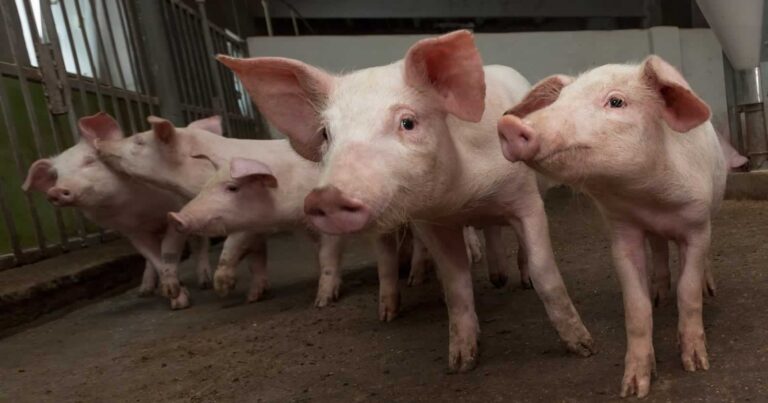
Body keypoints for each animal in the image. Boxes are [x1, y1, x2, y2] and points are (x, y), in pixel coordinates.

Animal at [22, 112, 212, 310]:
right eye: (56, 176)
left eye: (89, 160)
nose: (55, 191)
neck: (137, 210)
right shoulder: (132, 232)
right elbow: (153, 257)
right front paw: (175, 296)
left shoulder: (176, 210)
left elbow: (170, 250)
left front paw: (180, 304)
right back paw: (144, 291)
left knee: (201, 242)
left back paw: (205, 282)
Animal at [219, 30, 593, 372]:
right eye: (326, 134)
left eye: (408, 122)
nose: (327, 197)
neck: (464, 195)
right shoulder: (431, 222)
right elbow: (455, 286)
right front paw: (460, 363)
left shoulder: (525, 199)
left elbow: (545, 271)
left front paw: (583, 347)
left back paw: (514, 280)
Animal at [497, 55, 727, 397]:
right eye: (561, 99)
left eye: (616, 101)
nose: (509, 125)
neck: (651, 199)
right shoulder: (623, 231)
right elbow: (636, 307)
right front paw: (633, 388)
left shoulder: (696, 225)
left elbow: (688, 291)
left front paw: (696, 365)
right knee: (660, 251)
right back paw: (660, 296)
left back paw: (707, 288)